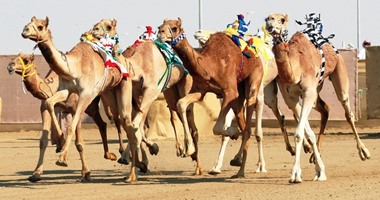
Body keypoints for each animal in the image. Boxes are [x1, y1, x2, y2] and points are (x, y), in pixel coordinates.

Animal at [5, 52, 129, 182]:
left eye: (26, 60)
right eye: (15, 57)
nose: (10, 65)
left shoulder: (75, 109)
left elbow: (79, 143)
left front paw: (85, 172)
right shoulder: (45, 108)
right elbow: (43, 141)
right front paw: (36, 173)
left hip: (106, 97)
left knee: (118, 119)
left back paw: (122, 153)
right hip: (92, 107)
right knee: (102, 124)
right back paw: (109, 155)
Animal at [157, 17, 264, 178]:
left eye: (174, 28)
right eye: (160, 26)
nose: (160, 33)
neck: (211, 65)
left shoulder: (229, 91)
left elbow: (217, 127)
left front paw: (232, 132)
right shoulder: (200, 90)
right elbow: (181, 103)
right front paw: (189, 149)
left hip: (254, 79)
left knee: (248, 121)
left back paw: (241, 171)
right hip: (238, 96)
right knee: (244, 124)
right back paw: (237, 161)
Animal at [266, 12, 370, 183]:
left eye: (281, 20)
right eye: (267, 19)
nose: (270, 25)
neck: (294, 70)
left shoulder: (308, 92)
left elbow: (299, 133)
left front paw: (296, 174)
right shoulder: (291, 99)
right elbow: (306, 133)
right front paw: (317, 169)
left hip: (339, 72)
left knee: (348, 111)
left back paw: (363, 151)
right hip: (317, 91)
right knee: (325, 109)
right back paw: (315, 157)